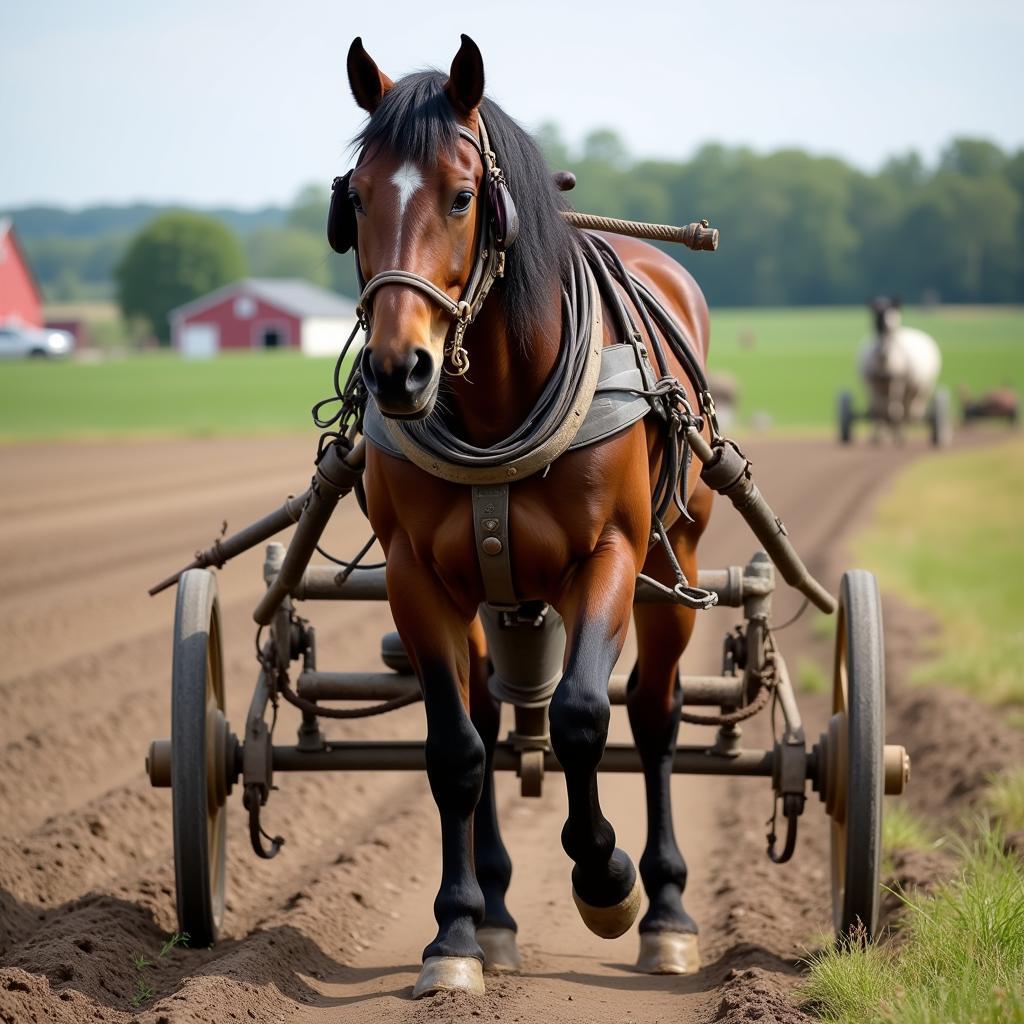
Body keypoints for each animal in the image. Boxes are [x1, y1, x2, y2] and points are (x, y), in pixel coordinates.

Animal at [344, 36, 712, 995]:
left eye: (461, 195)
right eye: (354, 198)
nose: (398, 369)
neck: (496, 410)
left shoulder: (611, 557)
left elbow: (583, 714)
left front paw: (605, 878)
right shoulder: (416, 577)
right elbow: (456, 750)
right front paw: (455, 934)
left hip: (676, 558)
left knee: (654, 712)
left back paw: (665, 910)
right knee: (486, 716)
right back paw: (499, 911)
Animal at [860, 296, 937, 440]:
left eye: (894, 313)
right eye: (877, 314)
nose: (888, 326)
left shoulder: (898, 382)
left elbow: (896, 409)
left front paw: (898, 435)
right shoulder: (874, 384)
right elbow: (879, 410)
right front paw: (877, 437)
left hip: (924, 387)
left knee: (910, 408)